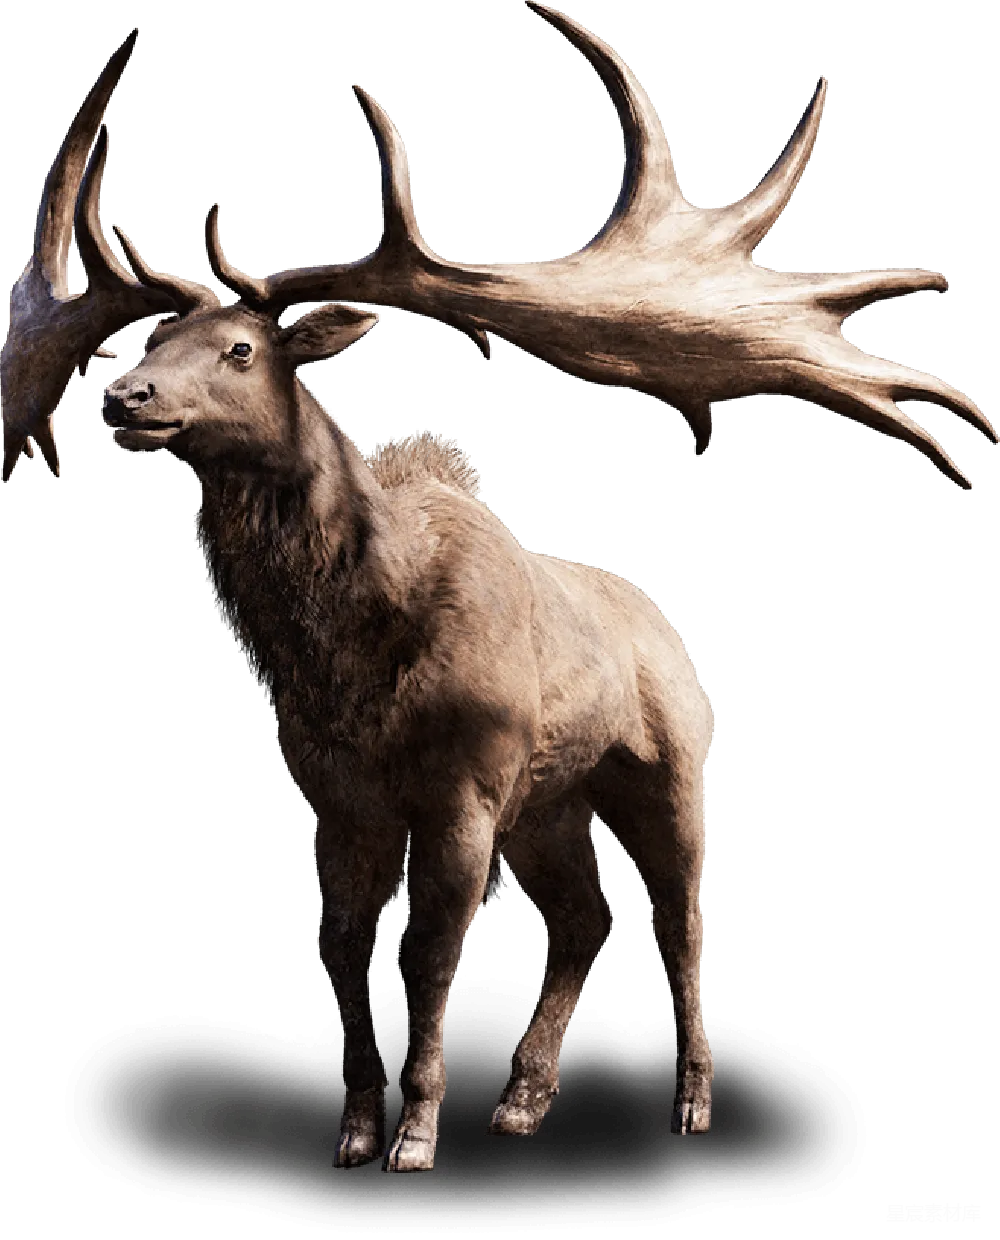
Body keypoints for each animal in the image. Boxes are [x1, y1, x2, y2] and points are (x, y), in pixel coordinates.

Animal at [0, 6, 992, 1175]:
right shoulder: (338, 798)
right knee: (584, 921)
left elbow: (430, 958)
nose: (123, 396)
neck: (354, 657)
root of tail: (663, 619)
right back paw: (524, 1098)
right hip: (549, 801)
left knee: (680, 922)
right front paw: (354, 1126)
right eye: (155, 340)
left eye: (241, 349)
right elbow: (343, 951)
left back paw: (690, 1103)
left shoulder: (468, 789)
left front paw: (414, 1136)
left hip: (668, 768)